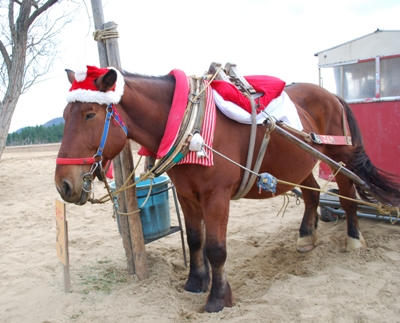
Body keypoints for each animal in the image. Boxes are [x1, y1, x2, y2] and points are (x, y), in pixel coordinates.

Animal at [54, 66, 400, 314]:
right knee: (313, 193)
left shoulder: (216, 196)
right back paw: (306, 236)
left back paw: (353, 239)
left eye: (90, 114)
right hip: (301, 163)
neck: (190, 124)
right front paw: (195, 282)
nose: (63, 184)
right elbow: (196, 240)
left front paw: (218, 298)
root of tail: (332, 95)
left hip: (340, 156)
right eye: (65, 116)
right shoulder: (187, 196)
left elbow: (216, 249)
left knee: (349, 196)